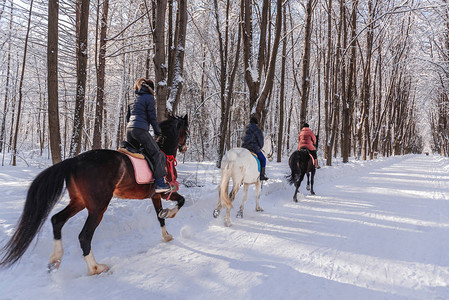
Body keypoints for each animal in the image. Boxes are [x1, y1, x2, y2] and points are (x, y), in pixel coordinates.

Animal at [0, 114, 187, 274]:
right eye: (186, 129)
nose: (185, 147)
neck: (163, 152)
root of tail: (74, 161)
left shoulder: (155, 195)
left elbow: (160, 216)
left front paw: (166, 233)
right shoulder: (163, 193)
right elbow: (180, 202)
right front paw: (170, 215)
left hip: (79, 201)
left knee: (57, 220)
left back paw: (55, 260)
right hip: (97, 207)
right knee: (84, 236)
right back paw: (95, 268)